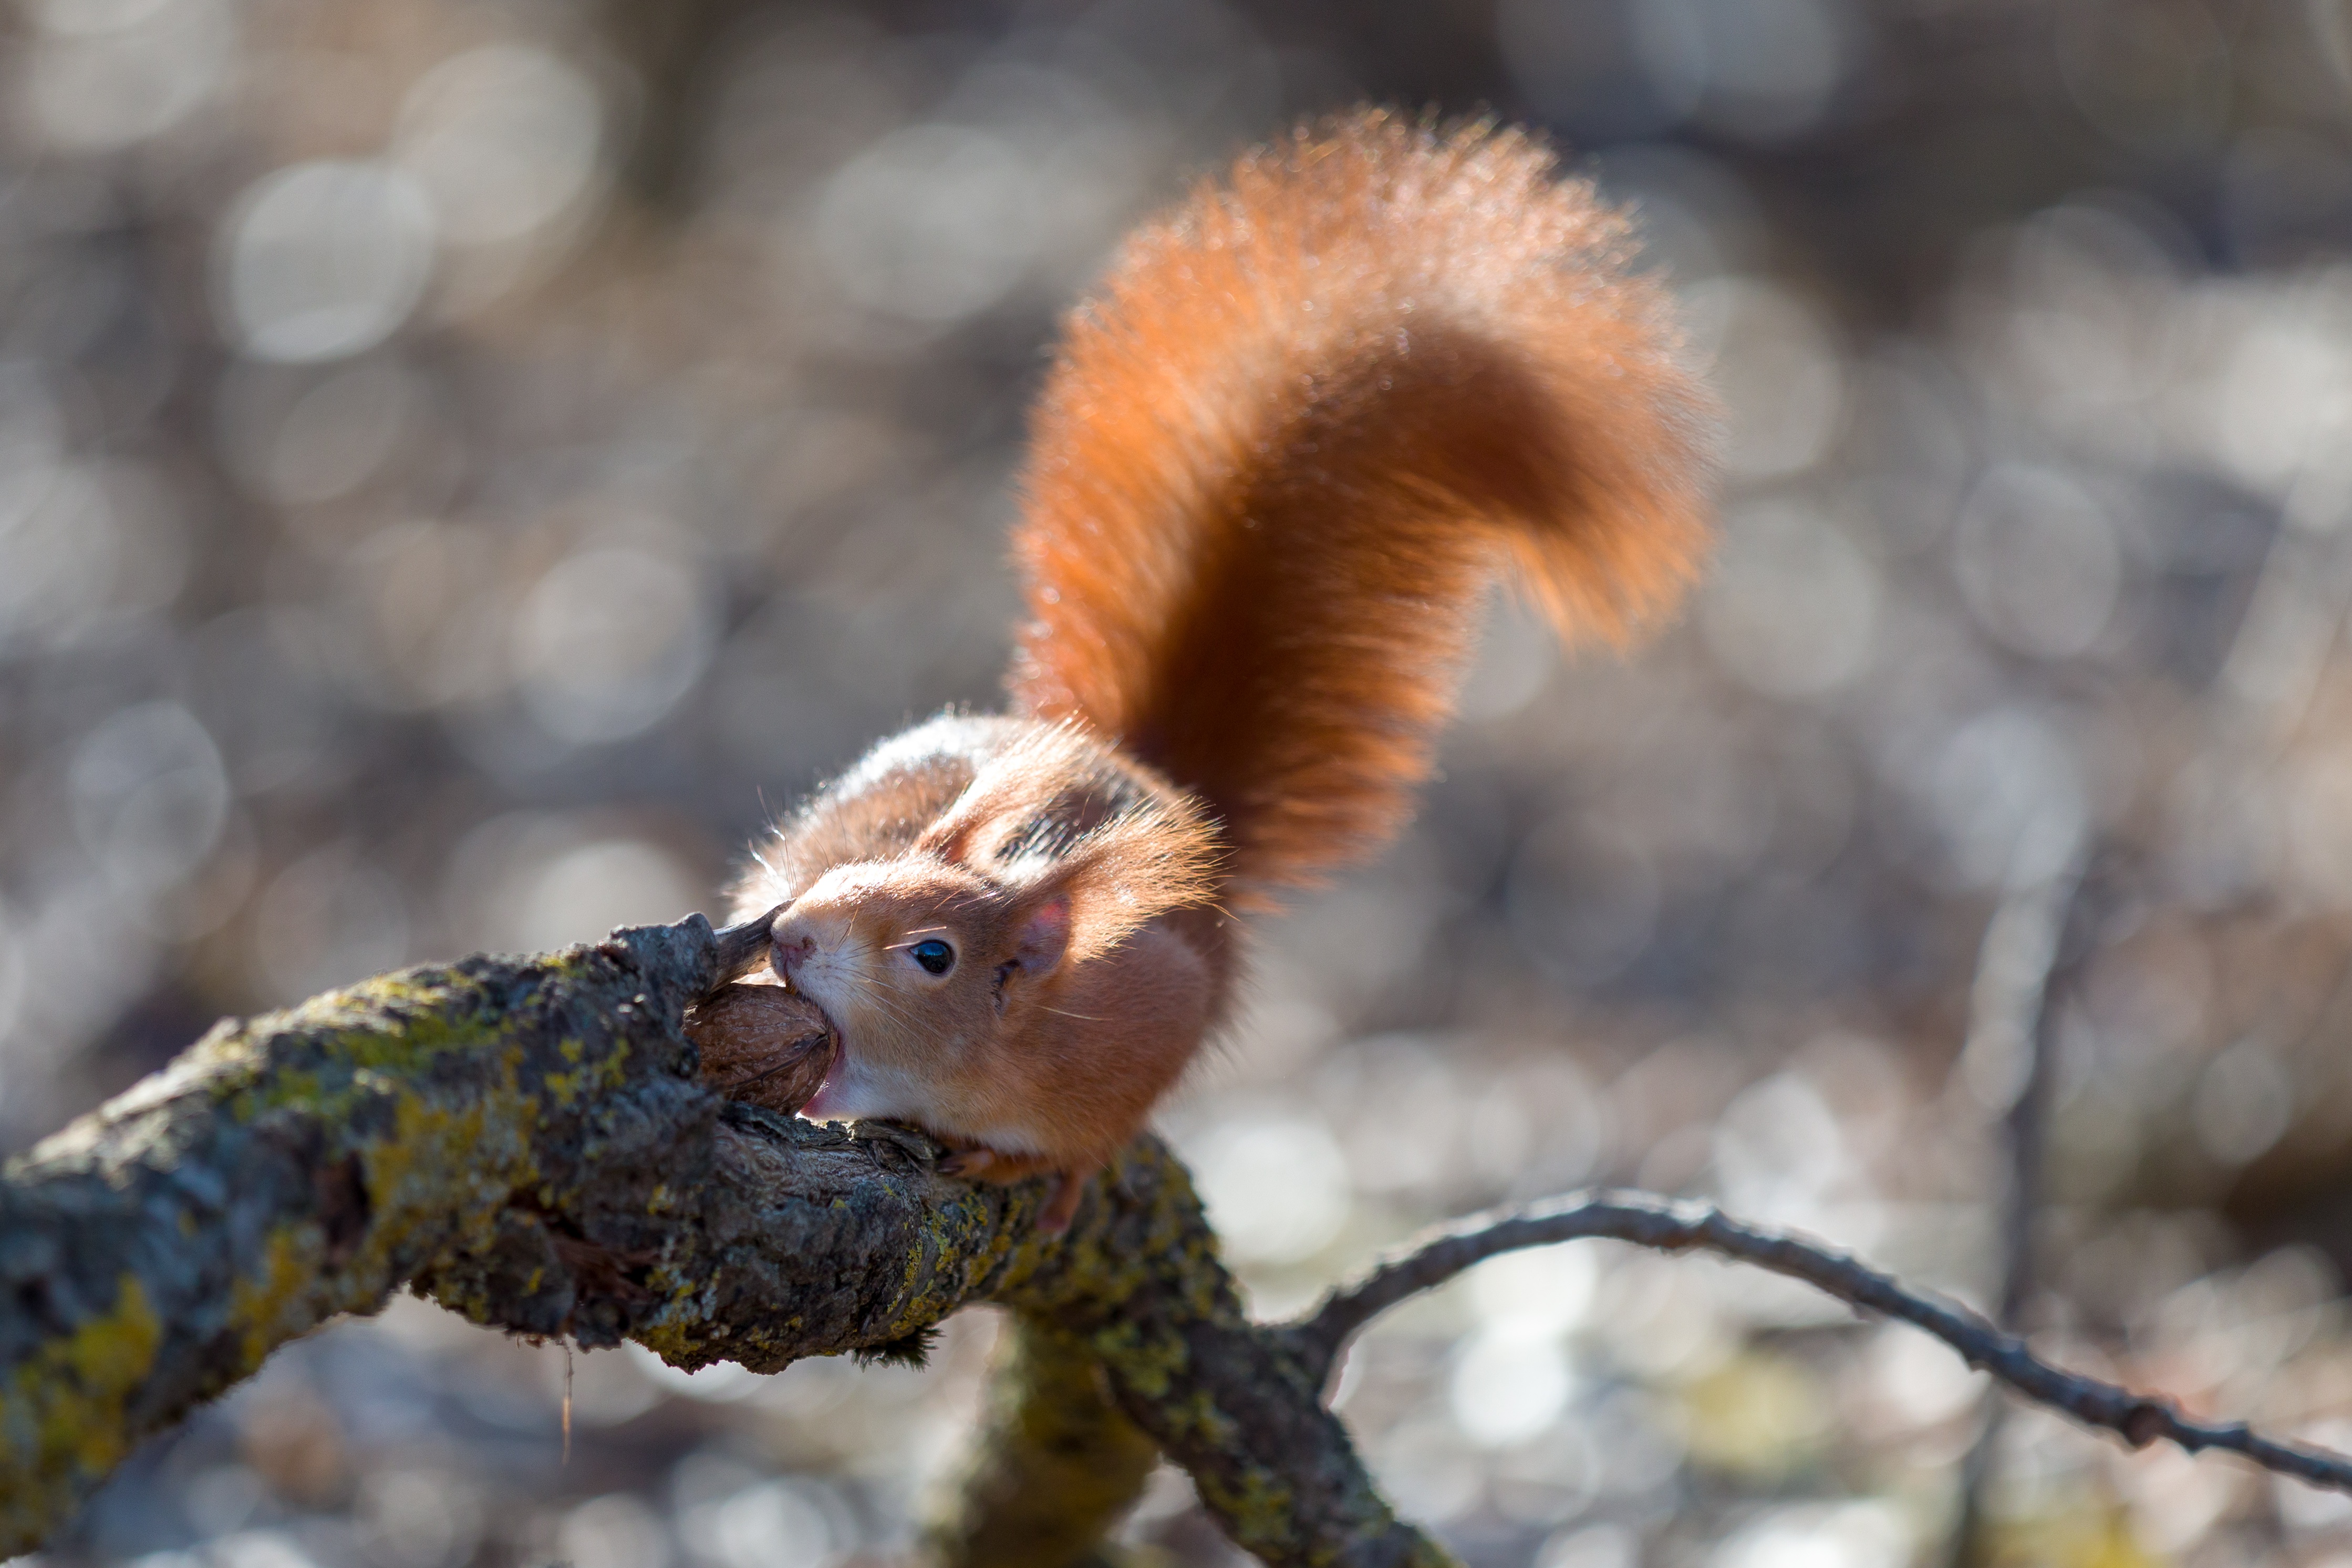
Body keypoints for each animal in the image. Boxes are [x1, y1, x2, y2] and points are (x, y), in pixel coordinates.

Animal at [724, 113, 1722, 1241]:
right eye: (858, 866)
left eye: (931, 956)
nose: (792, 935)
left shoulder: (1140, 1029)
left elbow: (1081, 1144)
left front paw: (1031, 1168)